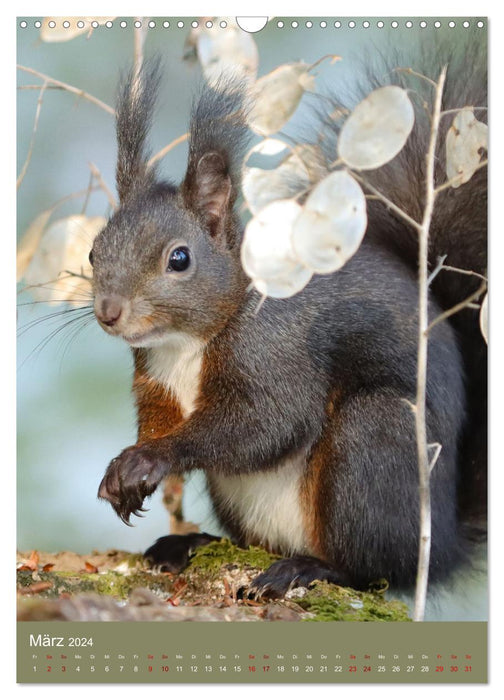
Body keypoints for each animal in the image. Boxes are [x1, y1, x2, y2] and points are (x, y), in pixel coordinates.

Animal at [91, 37, 488, 596]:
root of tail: (445, 544)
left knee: (374, 569)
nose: (109, 312)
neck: (185, 344)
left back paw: (309, 567)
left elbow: (268, 423)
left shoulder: (276, 353)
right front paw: (124, 472)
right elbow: (161, 421)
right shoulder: (156, 381)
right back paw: (193, 545)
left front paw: (151, 459)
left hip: (376, 444)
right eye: (93, 252)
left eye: (179, 258)